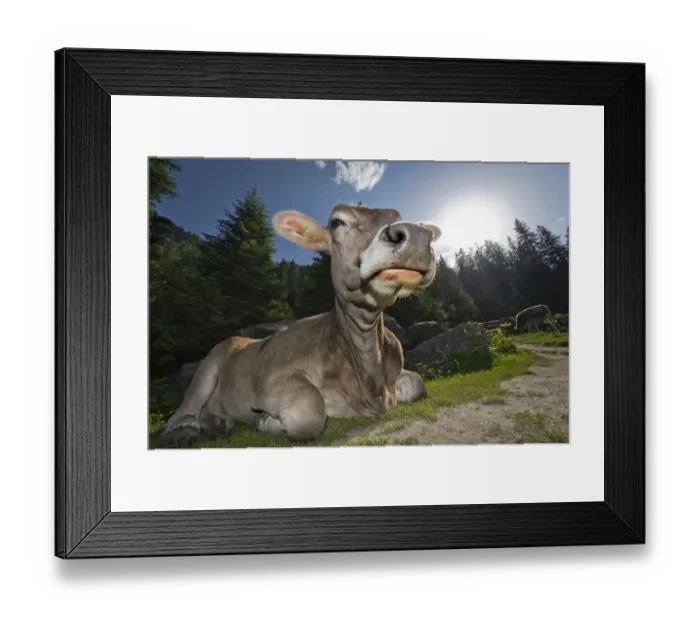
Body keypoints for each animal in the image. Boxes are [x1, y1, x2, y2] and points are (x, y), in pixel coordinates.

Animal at [157, 204, 442, 447]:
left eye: (397, 216)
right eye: (337, 222)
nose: (416, 235)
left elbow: (419, 384)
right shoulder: (274, 381)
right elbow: (309, 410)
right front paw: (265, 421)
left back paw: (218, 424)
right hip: (209, 365)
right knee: (181, 414)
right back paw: (187, 433)